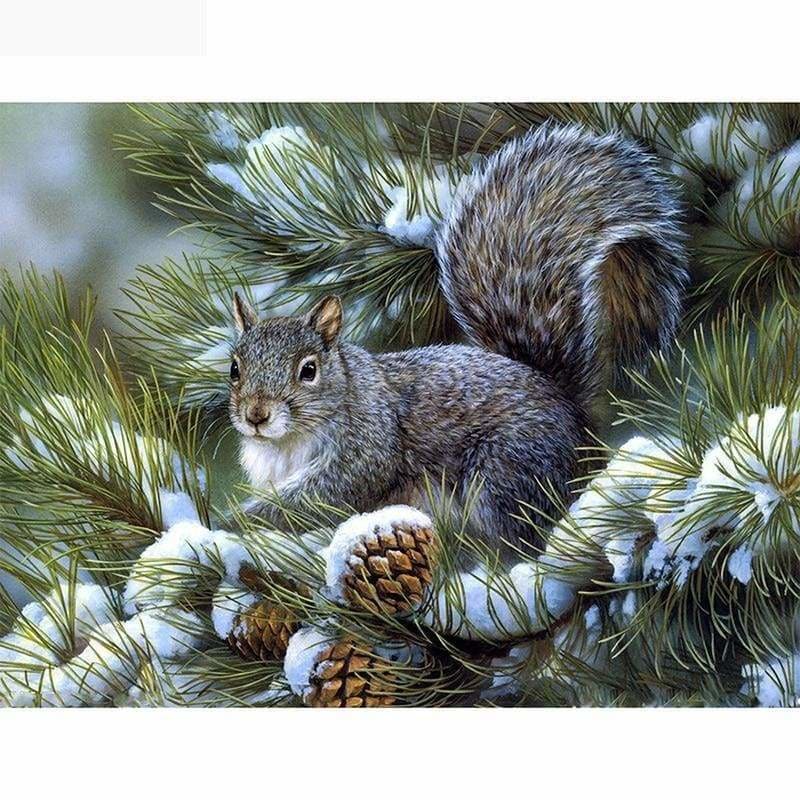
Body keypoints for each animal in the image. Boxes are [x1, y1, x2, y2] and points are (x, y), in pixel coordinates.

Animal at [228, 124, 688, 556]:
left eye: (308, 370)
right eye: (234, 369)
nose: (256, 415)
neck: (286, 442)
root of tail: (574, 416)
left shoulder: (367, 446)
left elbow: (324, 496)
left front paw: (243, 520)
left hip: (507, 472)